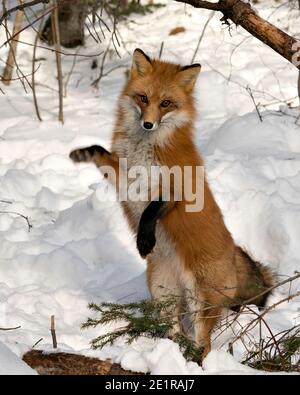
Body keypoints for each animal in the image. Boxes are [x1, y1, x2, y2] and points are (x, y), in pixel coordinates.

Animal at [69, 48, 274, 358]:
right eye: (143, 98)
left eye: (165, 104)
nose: (148, 124)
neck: (146, 148)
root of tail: (234, 253)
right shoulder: (124, 178)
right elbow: (99, 152)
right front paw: (82, 152)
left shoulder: (178, 188)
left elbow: (152, 209)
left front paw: (144, 239)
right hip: (161, 289)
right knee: (177, 331)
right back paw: (170, 350)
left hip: (200, 300)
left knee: (204, 343)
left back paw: (196, 359)